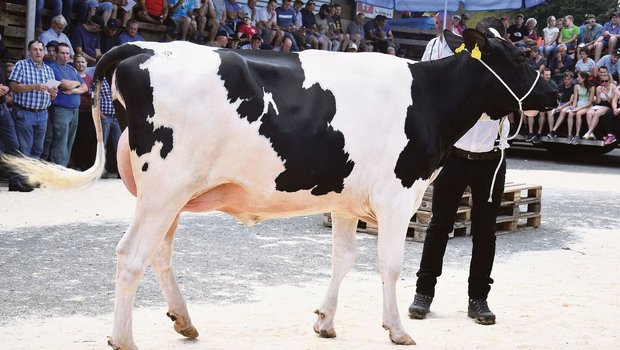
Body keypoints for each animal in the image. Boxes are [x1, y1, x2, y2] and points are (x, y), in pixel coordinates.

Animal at [3, 28, 556, 348]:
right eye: (516, 55)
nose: (551, 91)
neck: (430, 98)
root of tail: (143, 46)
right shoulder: (400, 193)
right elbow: (390, 263)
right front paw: (397, 328)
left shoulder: (345, 199)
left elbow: (343, 259)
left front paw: (325, 321)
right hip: (163, 188)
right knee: (130, 255)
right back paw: (123, 339)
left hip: (169, 194)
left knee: (158, 254)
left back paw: (184, 321)